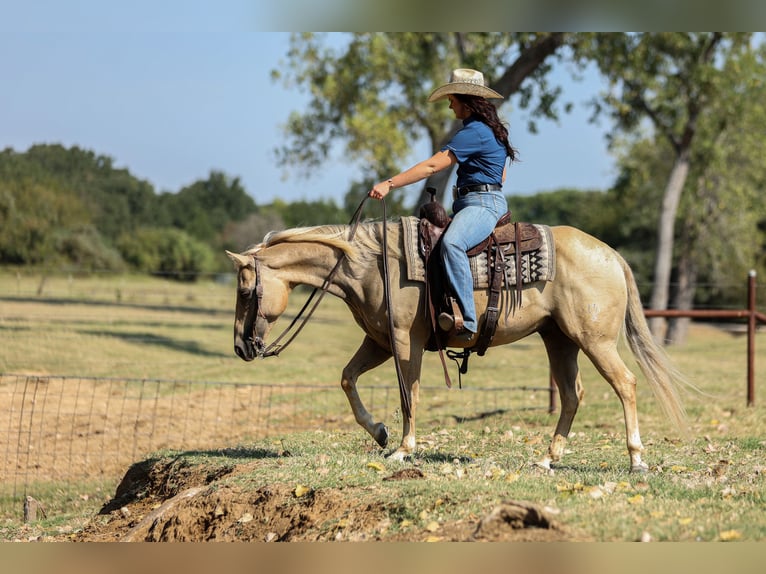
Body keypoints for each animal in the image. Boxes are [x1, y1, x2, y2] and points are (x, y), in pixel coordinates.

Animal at [226, 219, 687, 473]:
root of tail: (612, 255)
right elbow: (347, 379)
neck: (371, 265)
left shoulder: (404, 341)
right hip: (559, 340)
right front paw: (379, 432)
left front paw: (403, 450)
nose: (241, 348)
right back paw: (547, 458)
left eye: (246, 291)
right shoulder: (378, 340)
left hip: (594, 340)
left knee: (625, 384)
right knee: (573, 395)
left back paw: (636, 459)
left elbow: (408, 393)